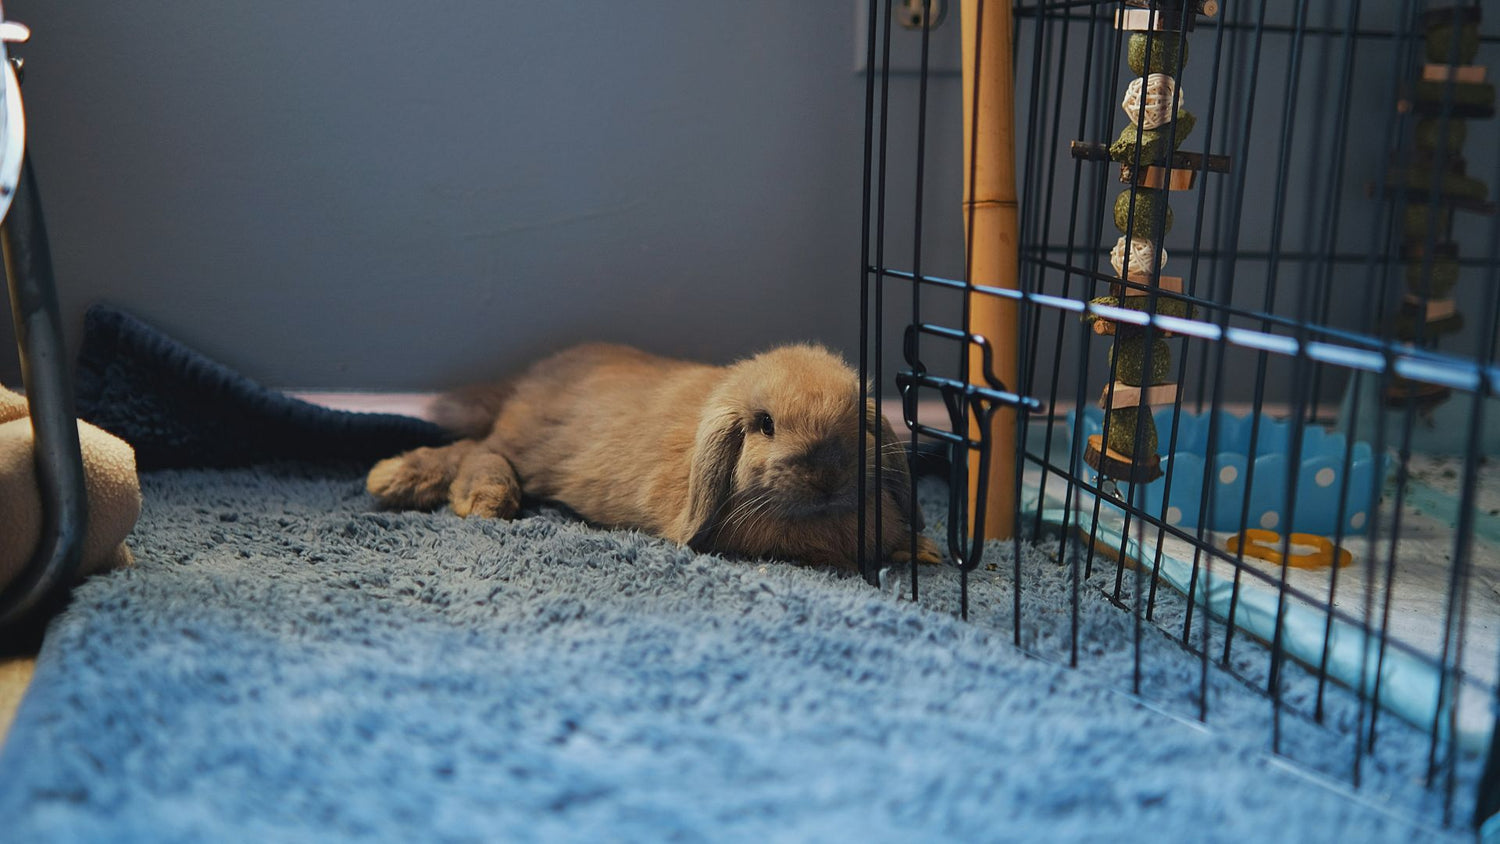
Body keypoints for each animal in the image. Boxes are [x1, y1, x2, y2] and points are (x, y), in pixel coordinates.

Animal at [366, 344, 936, 575]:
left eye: (856, 422)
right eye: (765, 424)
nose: (826, 475)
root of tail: (526, 383)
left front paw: (921, 549)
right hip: (527, 447)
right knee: (479, 451)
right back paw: (455, 494)